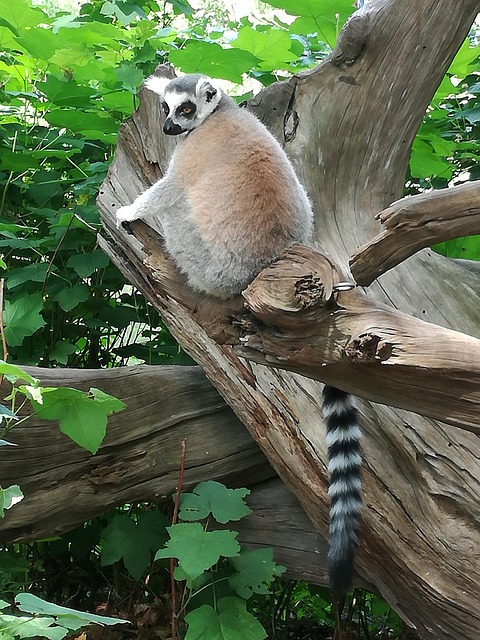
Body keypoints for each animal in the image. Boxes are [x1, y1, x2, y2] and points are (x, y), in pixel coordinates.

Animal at [116, 73, 362, 593]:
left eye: (186, 110)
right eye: (167, 108)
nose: (169, 128)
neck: (221, 112)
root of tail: (274, 255)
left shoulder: (190, 154)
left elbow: (170, 187)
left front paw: (129, 211)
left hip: (202, 257)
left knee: (179, 210)